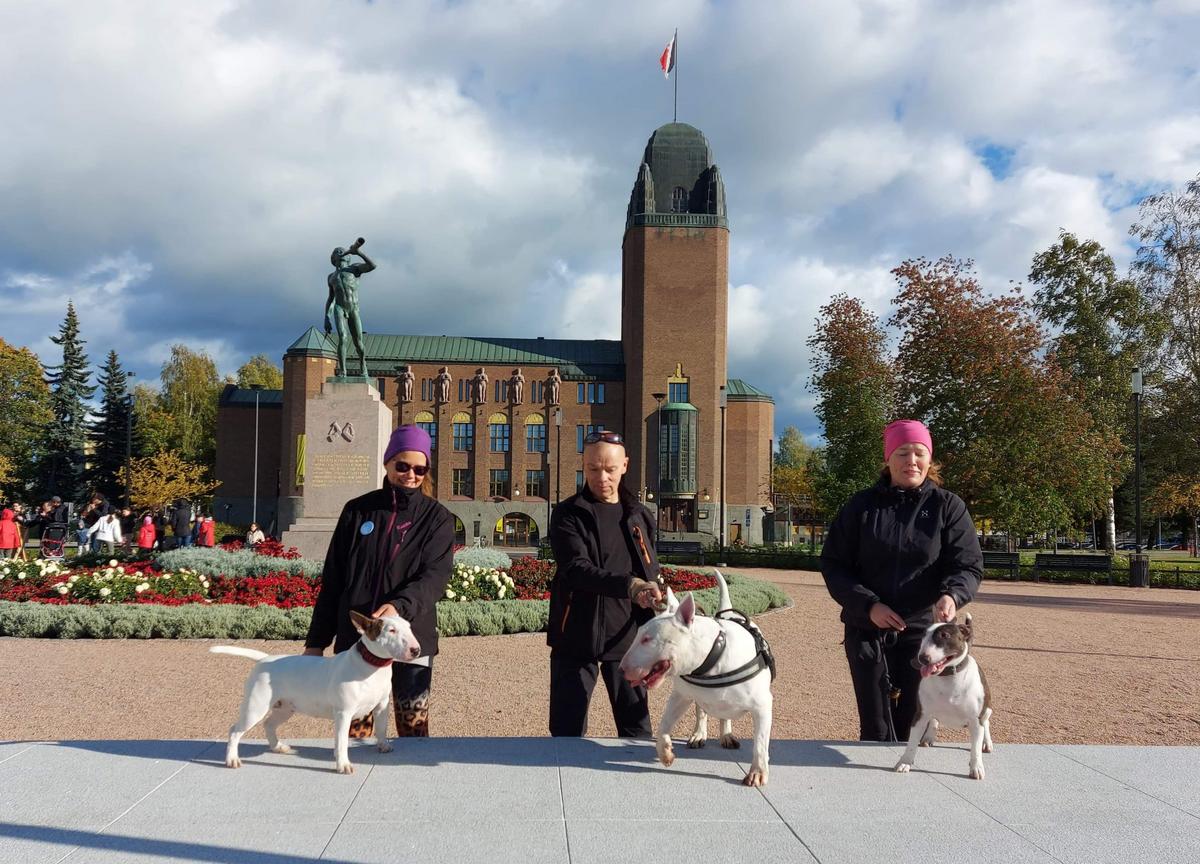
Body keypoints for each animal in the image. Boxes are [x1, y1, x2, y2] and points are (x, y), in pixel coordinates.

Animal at [211, 610, 419, 774]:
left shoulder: (382, 705)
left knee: (269, 724)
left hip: (285, 708)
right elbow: (342, 741)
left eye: (409, 627)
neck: (372, 666)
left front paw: (384, 745)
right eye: (391, 630)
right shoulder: (344, 713)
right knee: (235, 730)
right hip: (256, 706)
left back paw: (278, 747)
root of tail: (264, 659)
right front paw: (343, 765)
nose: (416, 650)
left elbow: (382, 728)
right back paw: (232, 759)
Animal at [619, 569, 775, 787]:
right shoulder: (681, 695)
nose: (621, 669)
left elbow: (760, 742)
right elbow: (664, 725)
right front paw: (665, 753)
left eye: (647, 639)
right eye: (639, 634)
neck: (714, 655)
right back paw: (699, 734)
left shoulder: (762, 706)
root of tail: (728, 612)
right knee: (702, 711)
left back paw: (727, 735)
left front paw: (758, 772)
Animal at [894, 613, 993, 780]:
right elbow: (912, 742)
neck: (948, 677)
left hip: (986, 710)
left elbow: (975, 749)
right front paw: (905, 762)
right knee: (934, 720)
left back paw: (987, 742)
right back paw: (928, 737)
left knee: (986, 722)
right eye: (923, 635)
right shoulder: (920, 715)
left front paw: (976, 768)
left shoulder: (975, 719)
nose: (922, 659)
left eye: (945, 635)